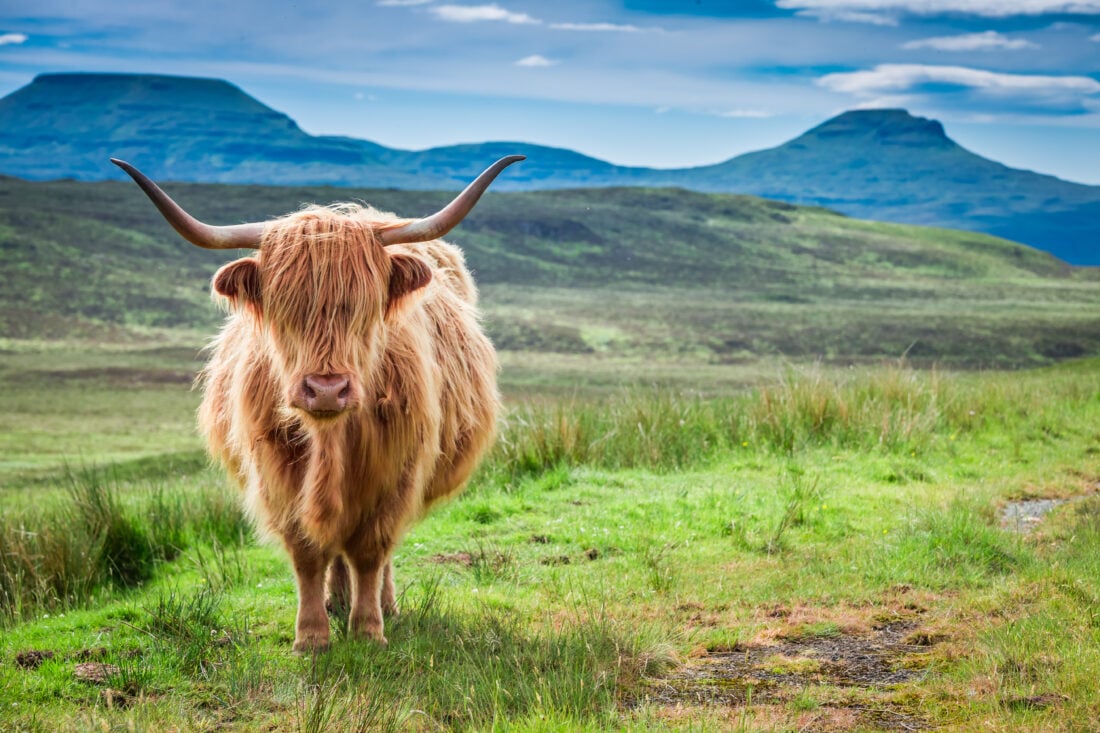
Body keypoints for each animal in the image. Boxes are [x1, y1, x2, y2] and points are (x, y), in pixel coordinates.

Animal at [113, 156, 523, 651]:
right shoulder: (277, 473)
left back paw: (382, 604)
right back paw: (336, 600)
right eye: (284, 308)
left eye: (364, 308)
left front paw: (368, 630)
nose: (326, 389)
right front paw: (311, 635)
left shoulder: (396, 472)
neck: (331, 439)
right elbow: (308, 552)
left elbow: (370, 550)